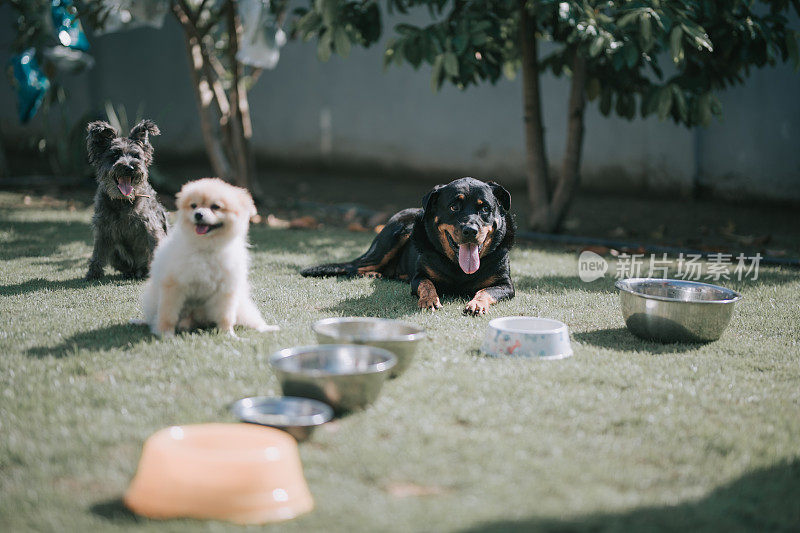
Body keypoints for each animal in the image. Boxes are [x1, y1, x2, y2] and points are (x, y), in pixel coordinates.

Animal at [142, 179, 280, 336]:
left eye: (215, 207)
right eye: (194, 205)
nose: (198, 214)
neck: (207, 248)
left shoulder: (225, 289)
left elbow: (225, 316)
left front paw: (227, 334)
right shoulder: (174, 285)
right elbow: (168, 314)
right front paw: (166, 334)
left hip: (243, 307)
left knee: (252, 320)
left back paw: (267, 328)